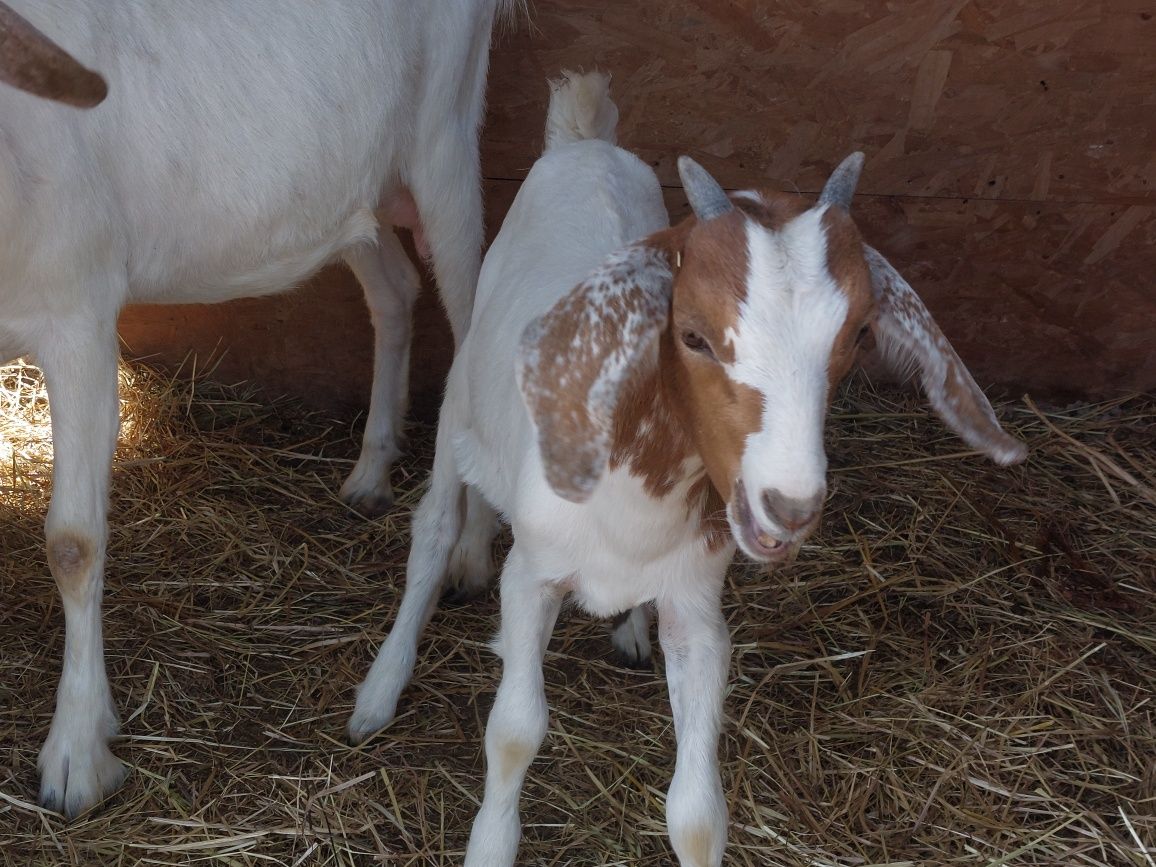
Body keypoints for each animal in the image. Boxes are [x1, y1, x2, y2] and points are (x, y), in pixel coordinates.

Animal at [0, 0, 515, 818]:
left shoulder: (77, 312)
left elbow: (73, 543)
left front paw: (76, 756)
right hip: (355, 188)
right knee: (394, 289)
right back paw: (371, 472)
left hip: (446, 141)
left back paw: (468, 552)